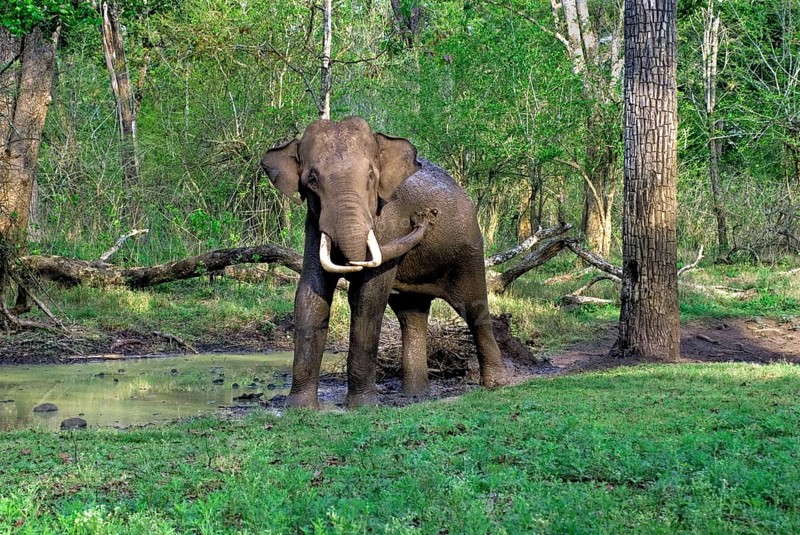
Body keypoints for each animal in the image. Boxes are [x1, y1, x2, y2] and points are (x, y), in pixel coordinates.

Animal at [261, 116, 506, 408]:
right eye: (312, 179)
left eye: (370, 176)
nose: (424, 218)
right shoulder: (314, 223)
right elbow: (311, 294)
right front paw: (299, 408)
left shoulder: (389, 220)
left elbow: (367, 297)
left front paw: (361, 407)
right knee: (412, 315)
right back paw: (416, 396)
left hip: (469, 251)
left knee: (474, 307)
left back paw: (495, 385)